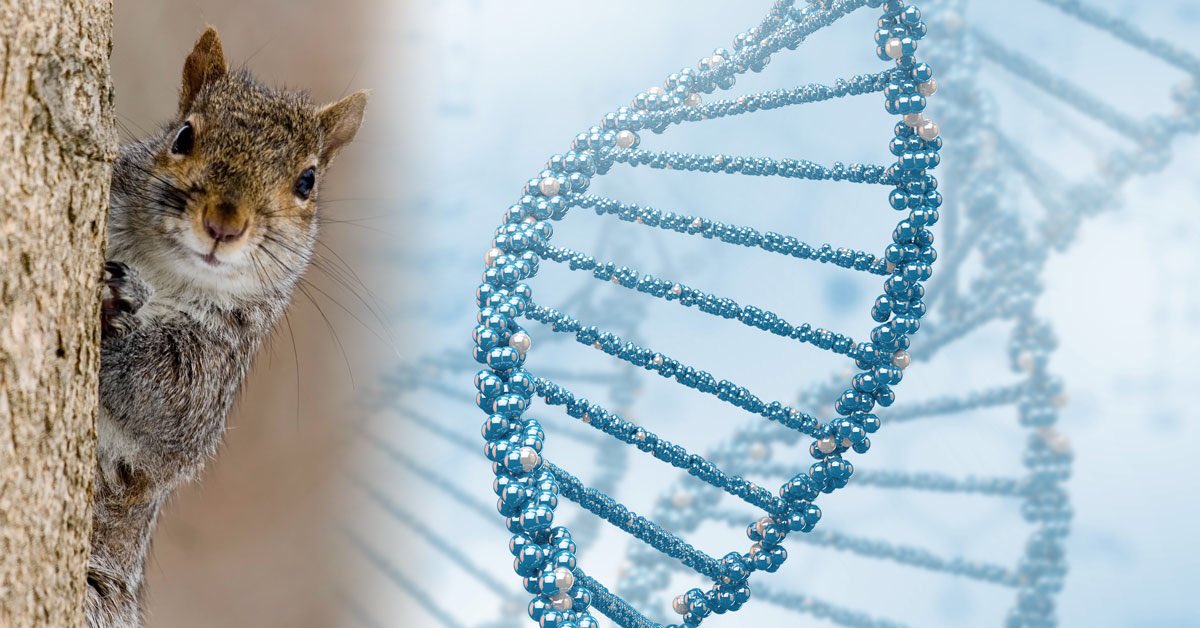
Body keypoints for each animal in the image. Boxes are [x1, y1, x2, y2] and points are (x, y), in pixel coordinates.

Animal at [87, 28, 367, 627]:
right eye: (184, 135)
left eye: (307, 181)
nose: (224, 223)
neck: (163, 271)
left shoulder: (213, 371)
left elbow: (165, 402)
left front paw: (116, 311)